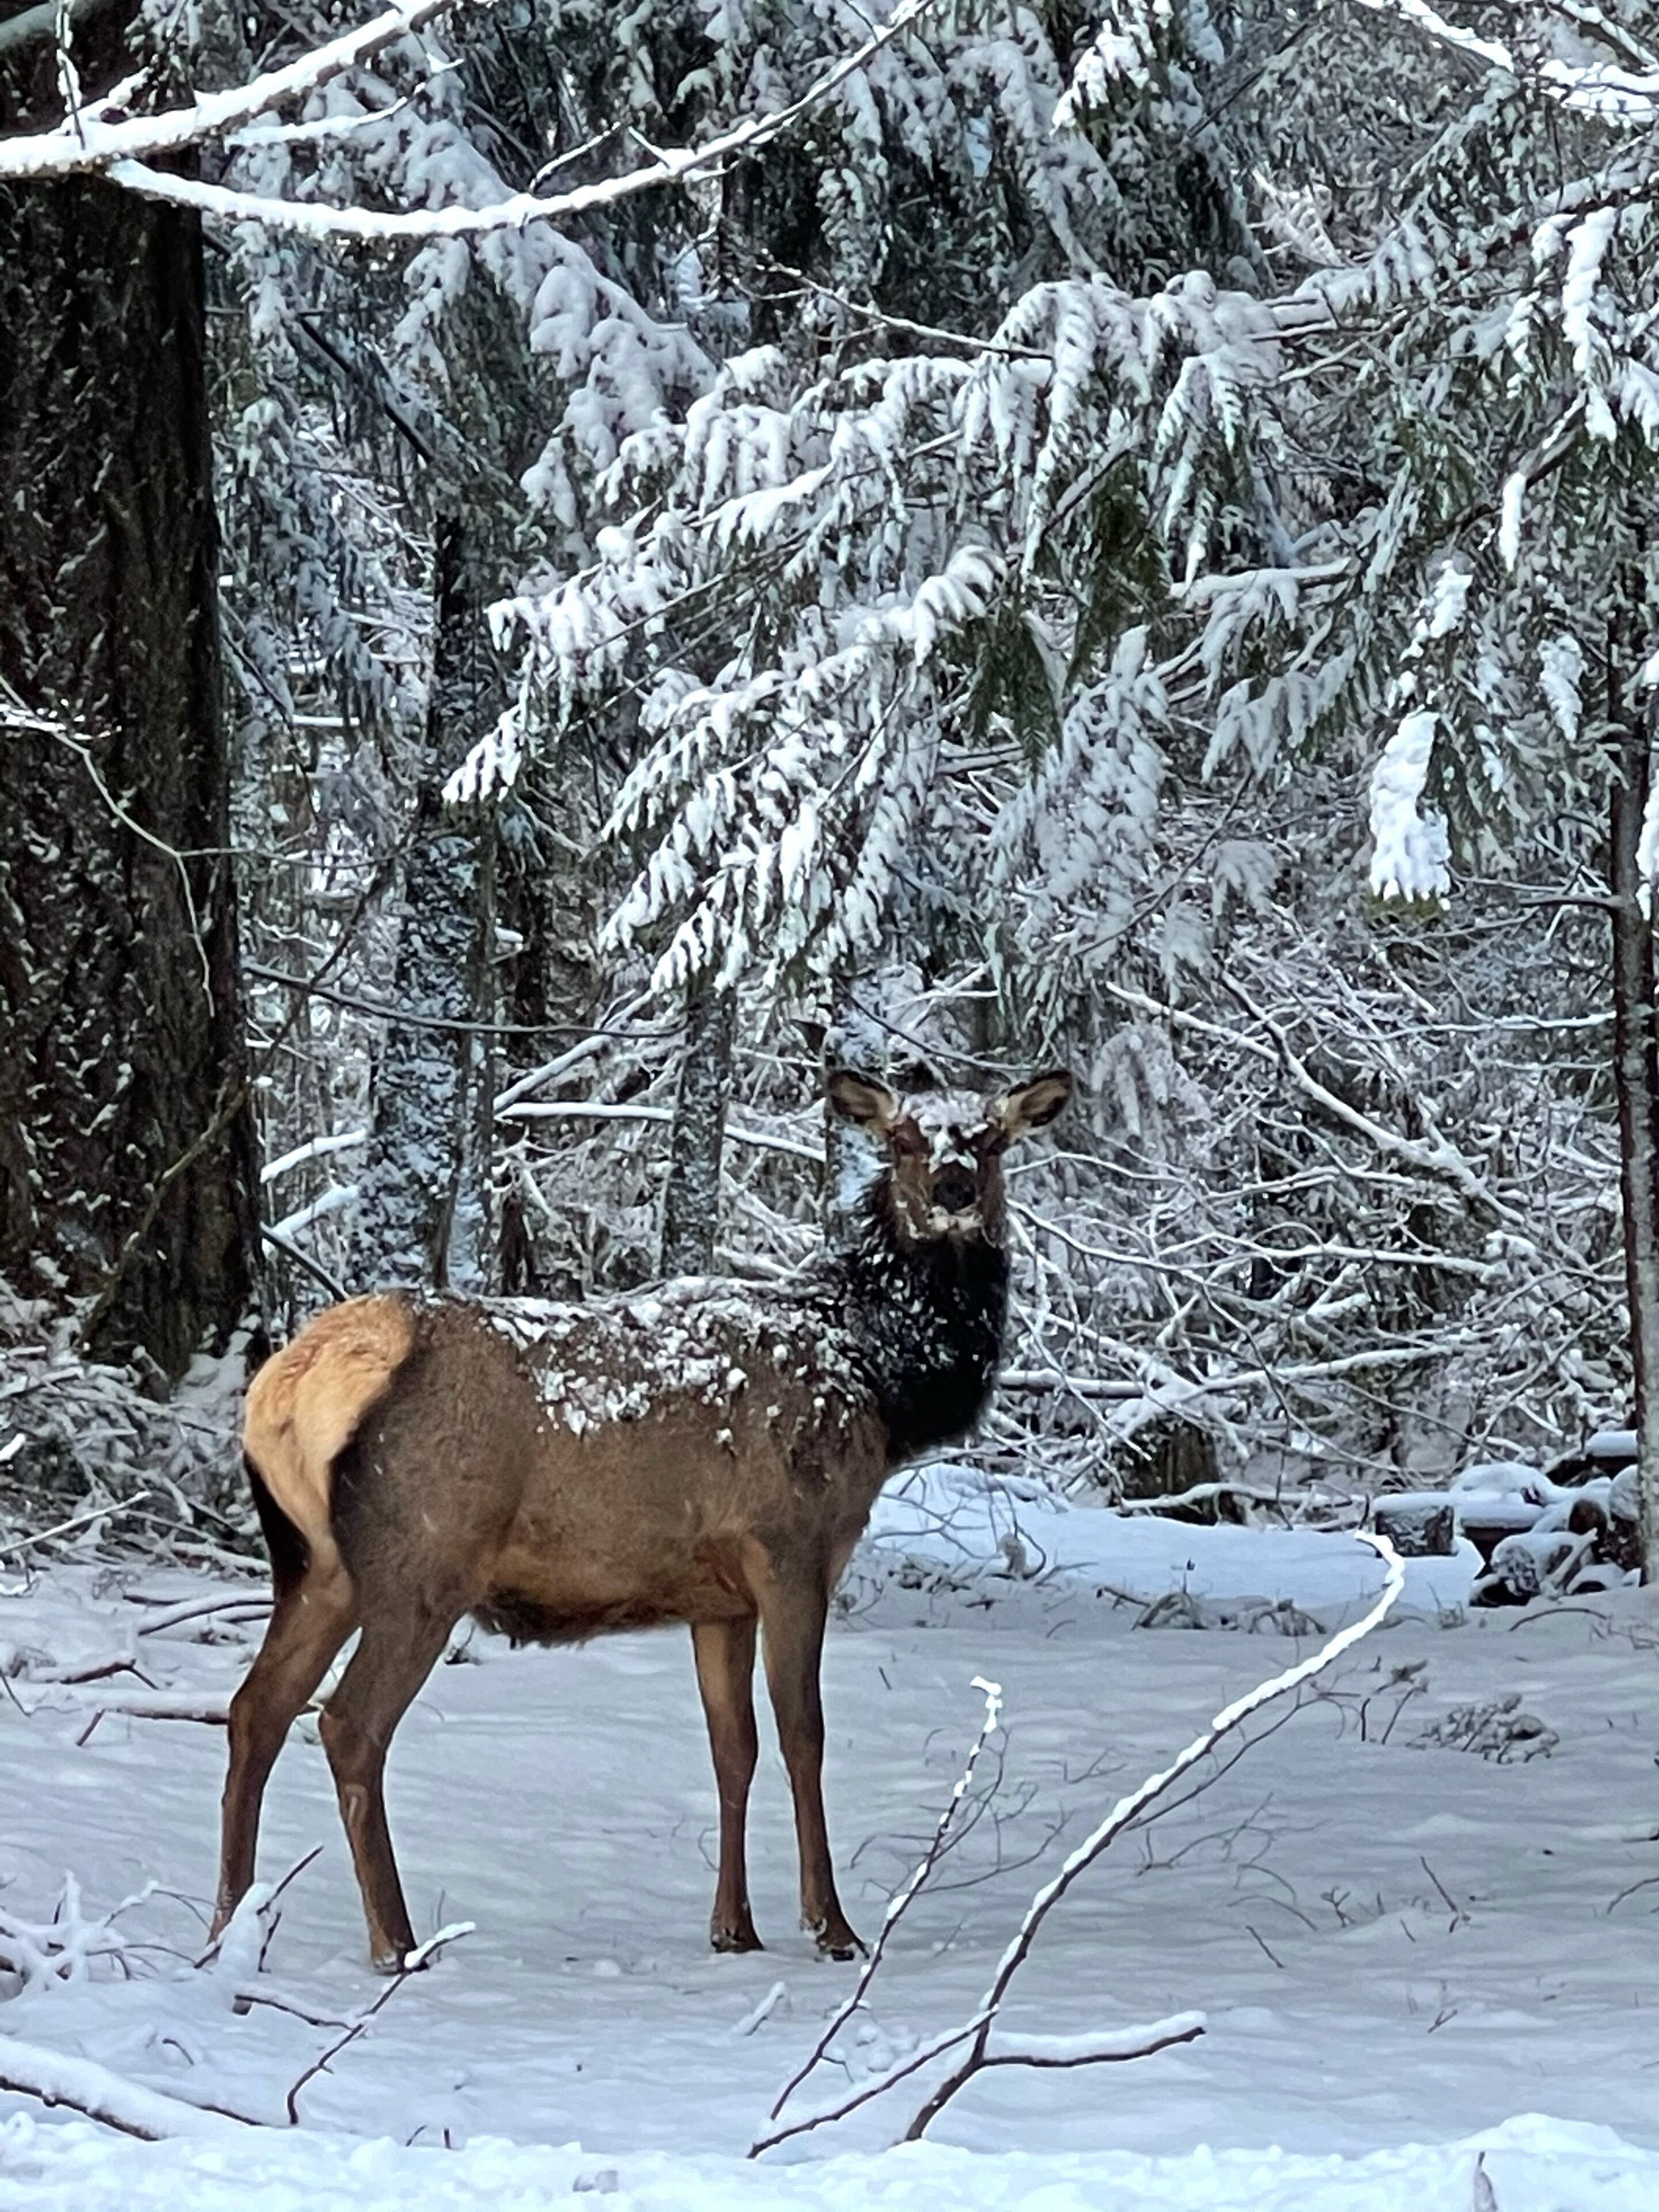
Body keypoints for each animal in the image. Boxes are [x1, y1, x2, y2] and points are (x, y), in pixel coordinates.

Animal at [212, 1065, 1071, 1971]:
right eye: (905, 1138)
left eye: (992, 1139)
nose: (953, 1188)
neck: (882, 1385)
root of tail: (287, 1387)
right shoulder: (791, 1549)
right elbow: (804, 1735)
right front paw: (831, 1927)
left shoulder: (717, 1598)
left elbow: (734, 1749)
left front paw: (733, 1928)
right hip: (424, 1564)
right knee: (346, 1725)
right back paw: (397, 1945)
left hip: (316, 1567)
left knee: (255, 1711)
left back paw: (227, 1929)